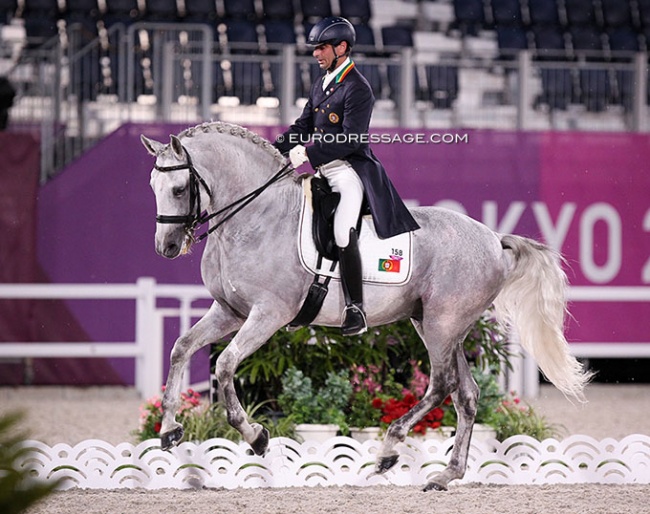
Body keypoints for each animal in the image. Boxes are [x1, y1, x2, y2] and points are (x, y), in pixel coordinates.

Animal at [142, 120, 592, 488]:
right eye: (152, 188)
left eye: (179, 189)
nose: (166, 248)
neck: (255, 218)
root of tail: (494, 238)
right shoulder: (229, 311)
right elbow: (181, 348)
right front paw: (169, 429)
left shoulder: (268, 315)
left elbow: (224, 364)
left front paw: (257, 436)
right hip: (439, 326)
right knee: (466, 393)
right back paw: (445, 475)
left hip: (442, 324)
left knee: (441, 385)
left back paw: (389, 450)